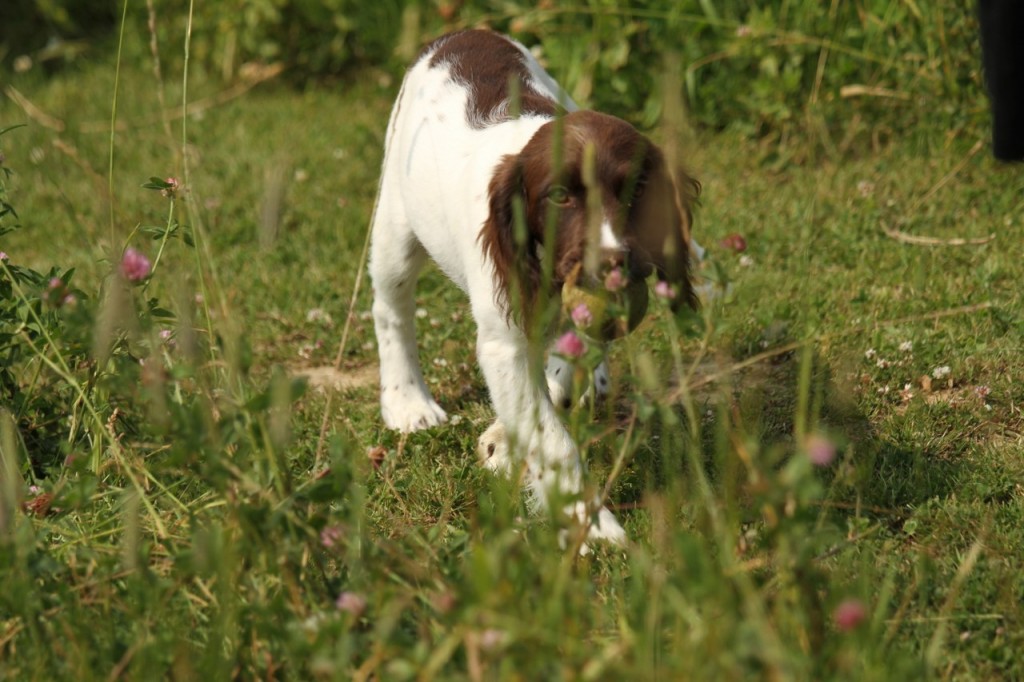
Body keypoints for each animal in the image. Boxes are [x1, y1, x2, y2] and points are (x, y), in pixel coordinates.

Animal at [366, 30, 696, 540]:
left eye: (635, 190)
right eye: (558, 196)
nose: (614, 264)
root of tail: (462, 32)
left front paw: (509, 438)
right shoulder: (504, 338)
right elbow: (553, 439)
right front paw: (592, 526)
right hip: (396, 223)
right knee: (391, 308)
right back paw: (409, 403)